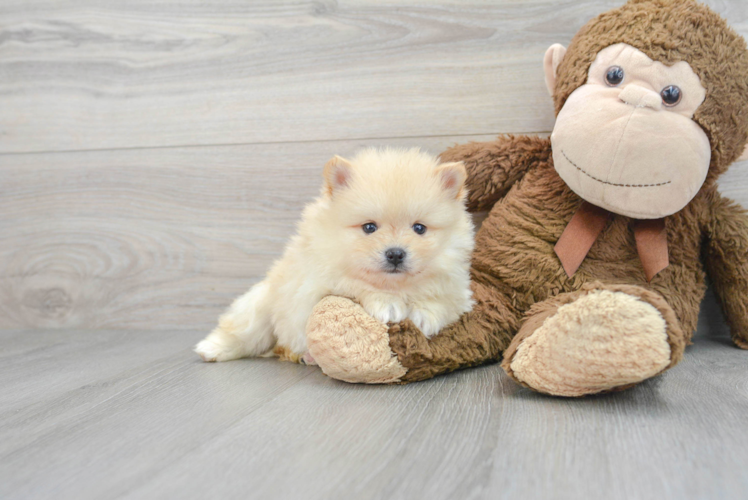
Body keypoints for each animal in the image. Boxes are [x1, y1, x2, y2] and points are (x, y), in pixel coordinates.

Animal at [193, 147, 474, 364]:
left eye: (419, 228)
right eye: (369, 227)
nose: (395, 254)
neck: (395, 285)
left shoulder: (457, 289)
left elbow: (443, 299)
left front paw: (425, 314)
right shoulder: (320, 282)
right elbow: (358, 283)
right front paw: (387, 303)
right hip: (260, 307)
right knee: (243, 334)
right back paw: (211, 349)